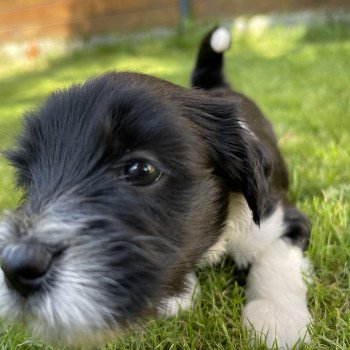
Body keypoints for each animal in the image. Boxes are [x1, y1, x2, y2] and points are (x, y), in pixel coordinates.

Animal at [0, 26, 312, 348]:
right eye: (29, 181)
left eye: (141, 170)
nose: (15, 266)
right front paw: (178, 295)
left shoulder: (281, 217)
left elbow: (275, 260)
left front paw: (277, 319)